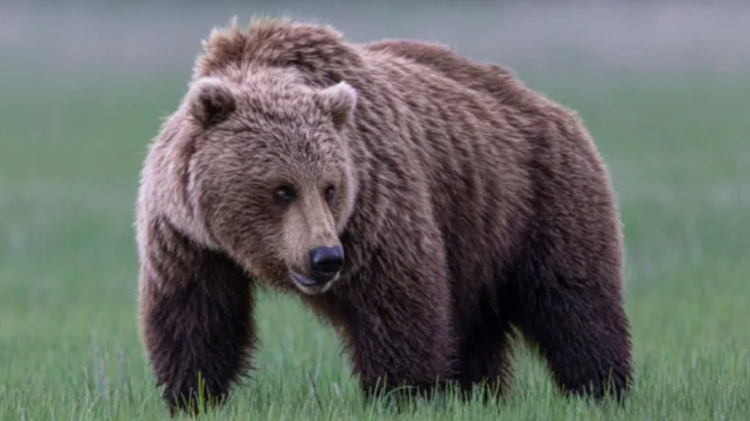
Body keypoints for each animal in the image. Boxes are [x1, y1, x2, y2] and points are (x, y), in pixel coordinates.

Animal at [135, 17, 633, 415]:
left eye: (330, 187)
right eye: (282, 189)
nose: (325, 258)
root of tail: (552, 107)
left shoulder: (375, 207)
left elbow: (398, 303)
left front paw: (403, 394)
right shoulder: (187, 240)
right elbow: (197, 318)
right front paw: (192, 396)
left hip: (538, 200)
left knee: (574, 302)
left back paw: (601, 388)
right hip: (476, 239)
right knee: (476, 327)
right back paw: (478, 393)